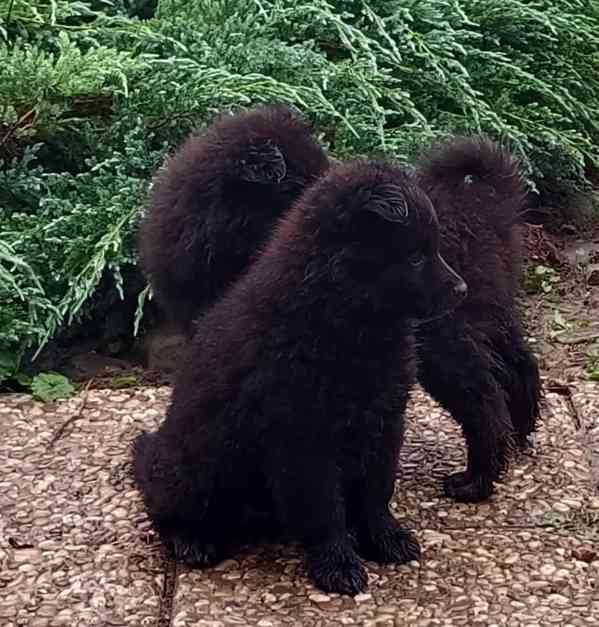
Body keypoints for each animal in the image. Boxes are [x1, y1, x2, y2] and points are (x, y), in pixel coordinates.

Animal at [132, 159, 468, 596]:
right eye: (414, 256)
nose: (463, 289)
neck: (345, 317)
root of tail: (153, 449)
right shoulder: (303, 440)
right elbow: (324, 510)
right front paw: (339, 565)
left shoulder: (384, 421)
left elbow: (377, 491)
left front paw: (385, 537)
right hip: (191, 469)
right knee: (163, 508)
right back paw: (192, 541)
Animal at [414, 136, 548, 500]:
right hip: (494, 315)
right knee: (520, 368)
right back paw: (521, 432)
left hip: (443, 340)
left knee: (484, 402)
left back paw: (475, 481)